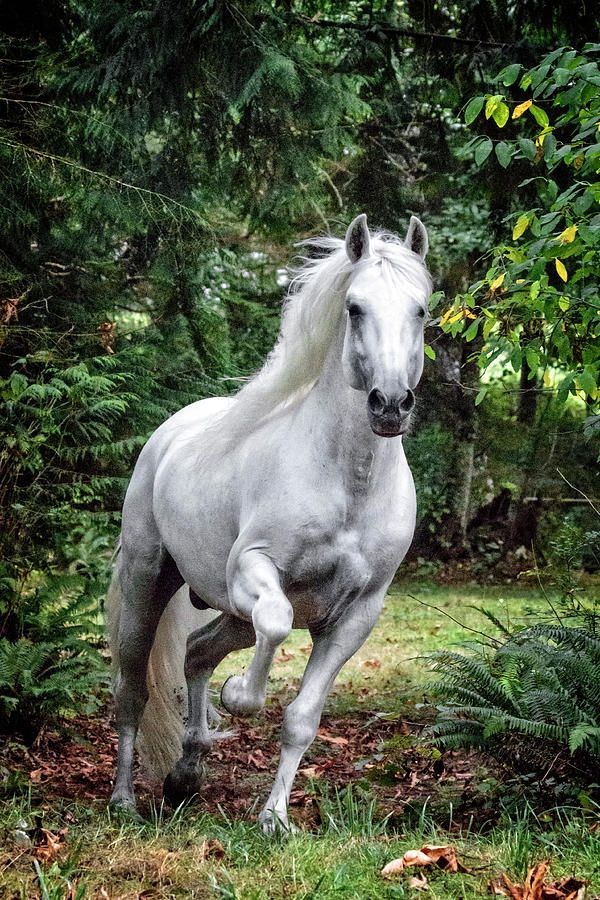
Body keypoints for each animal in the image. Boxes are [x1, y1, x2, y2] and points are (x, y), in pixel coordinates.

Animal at [107, 213, 431, 832]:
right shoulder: (254, 571)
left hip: (231, 613)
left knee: (197, 652)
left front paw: (275, 820)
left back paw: (186, 776)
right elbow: (277, 626)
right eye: (355, 307)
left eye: (422, 310)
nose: (390, 405)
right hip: (147, 584)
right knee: (133, 690)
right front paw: (240, 696)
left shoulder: (357, 614)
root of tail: (170, 433)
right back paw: (124, 800)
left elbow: (302, 718)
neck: (347, 484)